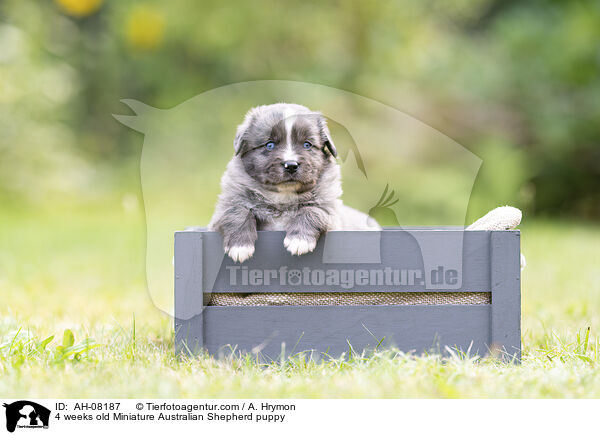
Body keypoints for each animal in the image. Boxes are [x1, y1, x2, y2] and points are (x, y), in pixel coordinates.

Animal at [210, 103, 380, 262]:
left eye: (307, 144)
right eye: (269, 145)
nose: (291, 165)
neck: (283, 196)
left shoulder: (330, 212)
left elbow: (312, 210)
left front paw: (299, 240)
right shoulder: (225, 208)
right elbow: (236, 211)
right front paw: (240, 246)